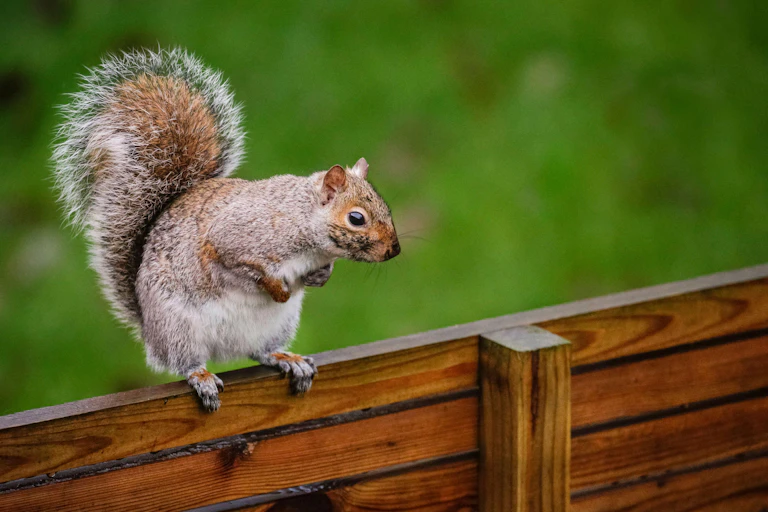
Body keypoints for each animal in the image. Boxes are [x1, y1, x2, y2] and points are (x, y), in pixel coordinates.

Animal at [52, 48, 400, 412]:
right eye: (356, 218)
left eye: (385, 206)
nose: (394, 249)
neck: (303, 226)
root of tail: (148, 327)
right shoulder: (232, 240)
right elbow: (243, 269)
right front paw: (278, 289)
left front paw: (320, 277)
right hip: (178, 329)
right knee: (185, 361)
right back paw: (202, 377)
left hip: (276, 326)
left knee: (261, 351)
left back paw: (286, 359)